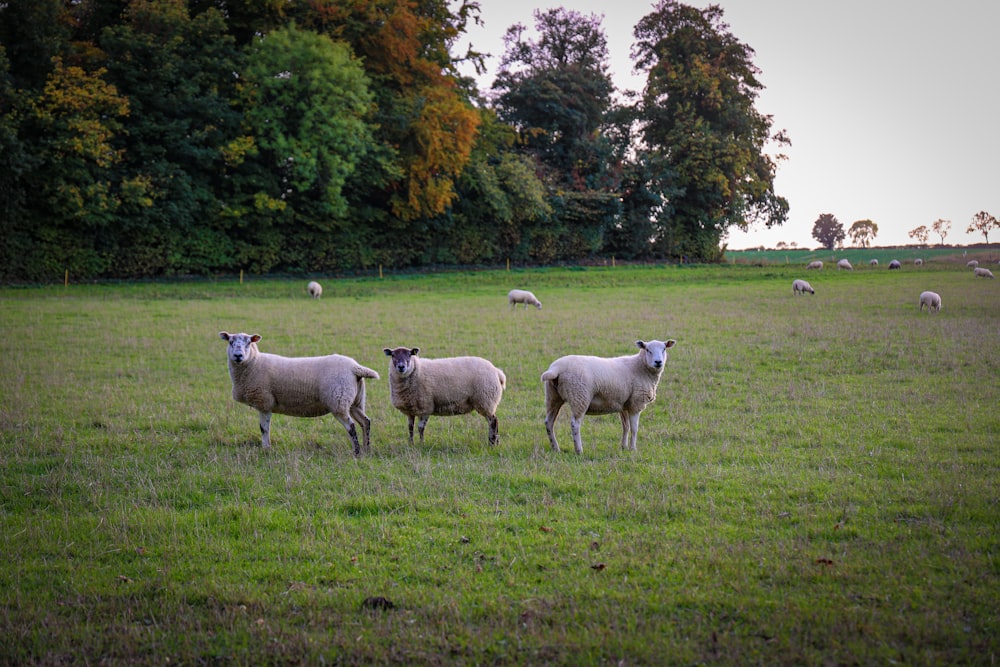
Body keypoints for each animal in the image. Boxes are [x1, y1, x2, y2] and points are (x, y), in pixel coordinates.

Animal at [219, 332, 378, 456]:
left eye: (248, 343)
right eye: (231, 342)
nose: (238, 356)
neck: (254, 363)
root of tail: (355, 367)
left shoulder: (264, 402)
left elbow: (264, 429)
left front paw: (266, 450)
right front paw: (266, 449)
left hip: (338, 401)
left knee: (351, 426)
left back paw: (357, 452)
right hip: (355, 401)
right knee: (365, 422)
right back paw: (367, 449)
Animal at [540, 340, 680, 454]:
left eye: (664, 349)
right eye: (648, 350)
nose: (658, 362)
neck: (640, 366)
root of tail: (556, 368)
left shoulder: (624, 404)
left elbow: (626, 427)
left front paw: (624, 447)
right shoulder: (636, 403)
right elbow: (634, 428)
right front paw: (633, 449)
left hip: (552, 396)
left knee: (549, 422)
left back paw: (555, 448)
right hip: (579, 396)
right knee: (575, 424)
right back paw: (579, 450)